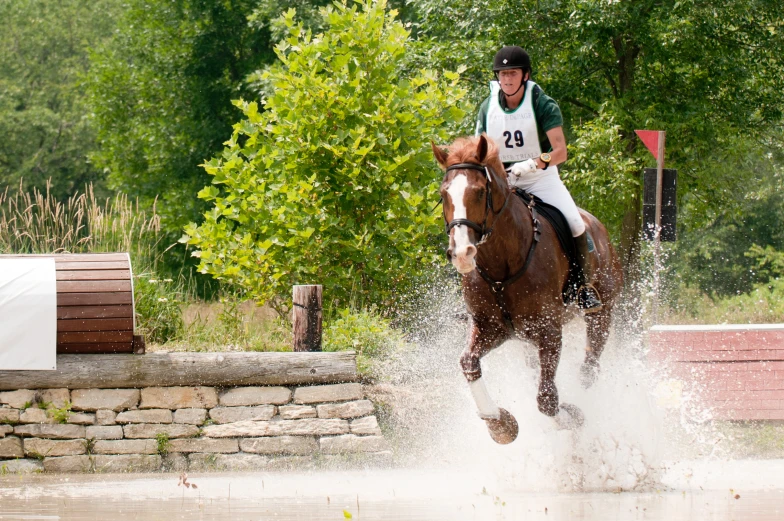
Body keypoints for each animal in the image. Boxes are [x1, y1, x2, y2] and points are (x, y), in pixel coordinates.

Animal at [432, 133, 620, 442]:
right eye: (444, 193)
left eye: (480, 192)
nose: (462, 254)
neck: (502, 262)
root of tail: (597, 225)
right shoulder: (490, 328)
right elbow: (469, 363)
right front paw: (500, 425)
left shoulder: (549, 330)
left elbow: (547, 400)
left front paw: (571, 417)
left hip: (601, 312)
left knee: (590, 366)